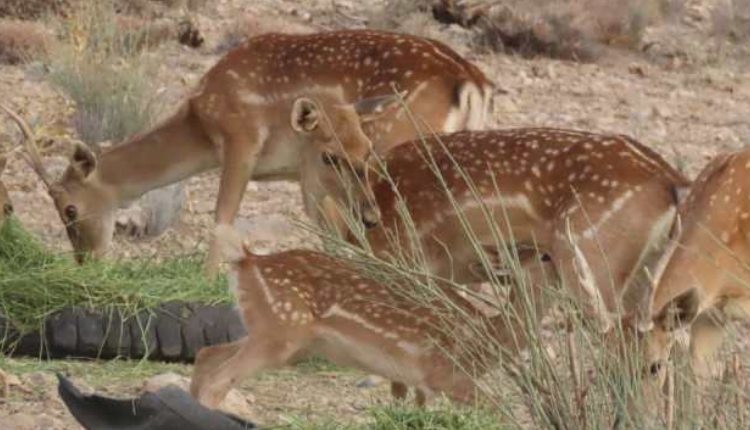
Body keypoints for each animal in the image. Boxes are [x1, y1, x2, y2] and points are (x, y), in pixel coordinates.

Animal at [14, 30, 494, 274]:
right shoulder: (302, 171)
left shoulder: (242, 139)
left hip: (401, 145)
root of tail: (471, 80)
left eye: (69, 209)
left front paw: (207, 285)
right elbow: (328, 230)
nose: (85, 261)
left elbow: (222, 221)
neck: (201, 121)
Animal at [191, 225, 524, 406]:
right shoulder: (445, 376)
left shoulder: (421, 382)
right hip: (280, 332)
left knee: (207, 355)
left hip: (276, 335)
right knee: (219, 380)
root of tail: (247, 260)